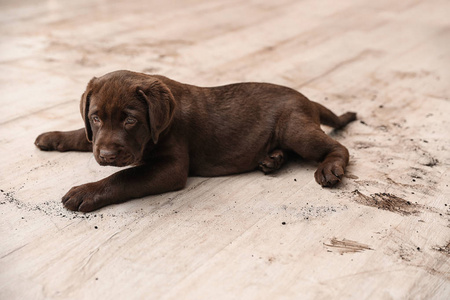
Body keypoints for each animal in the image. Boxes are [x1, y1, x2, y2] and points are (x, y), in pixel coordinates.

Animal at [34, 70, 356, 212]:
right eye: (96, 117)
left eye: (130, 120)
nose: (108, 155)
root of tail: (308, 100)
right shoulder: (95, 136)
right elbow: (83, 135)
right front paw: (53, 137)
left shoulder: (172, 168)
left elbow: (125, 177)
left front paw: (86, 192)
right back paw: (272, 159)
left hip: (295, 129)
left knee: (338, 147)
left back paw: (329, 169)